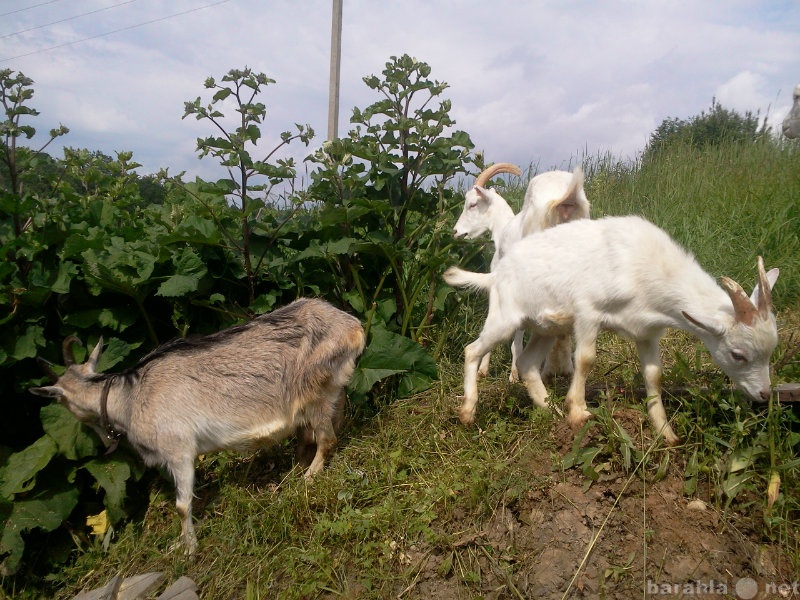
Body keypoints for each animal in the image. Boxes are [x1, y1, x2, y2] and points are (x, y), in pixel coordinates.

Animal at [28, 298, 366, 556]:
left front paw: (187, 547)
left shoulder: (178, 449)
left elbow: (181, 504)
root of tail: (353, 327)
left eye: (62, 402)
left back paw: (307, 477)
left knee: (327, 439)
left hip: (313, 391)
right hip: (331, 390)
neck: (130, 396)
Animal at [440, 213, 780, 442]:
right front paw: (578, 412)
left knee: (526, 363)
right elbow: (586, 359)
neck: (647, 266)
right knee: (472, 350)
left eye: (770, 353)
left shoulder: (647, 331)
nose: (764, 394)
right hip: (505, 316)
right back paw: (468, 411)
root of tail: (496, 274)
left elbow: (654, 375)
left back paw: (550, 411)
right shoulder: (588, 311)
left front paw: (666, 432)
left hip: (545, 328)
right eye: (738, 354)